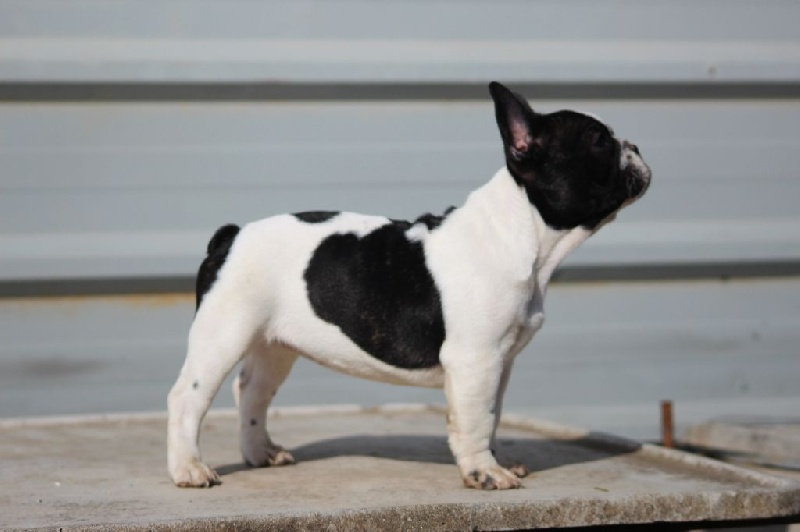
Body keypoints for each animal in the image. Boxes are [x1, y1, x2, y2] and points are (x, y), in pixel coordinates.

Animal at [167, 81, 651, 490]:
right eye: (599, 142)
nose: (635, 146)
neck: (521, 231)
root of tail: (231, 234)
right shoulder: (476, 360)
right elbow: (476, 418)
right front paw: (484, 473)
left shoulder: (499, 363)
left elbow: (491, 414)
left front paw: (494, 460)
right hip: (224, 332)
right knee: (187, 398)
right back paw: (189, 469)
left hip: (274, 344)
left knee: (251, 392)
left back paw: (260, 453)